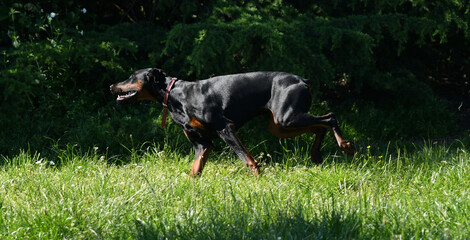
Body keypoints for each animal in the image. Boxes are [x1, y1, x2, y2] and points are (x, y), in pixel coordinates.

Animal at [110, 67, 352, 176]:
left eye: (132, 76)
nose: (111, 86)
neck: (177, 95)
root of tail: (302, 80)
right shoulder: (203, 144)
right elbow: (195, 170)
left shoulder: (225, 128)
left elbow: (248, 160)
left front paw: (259, 178)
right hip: (280, 125)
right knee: (319, 127)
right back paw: (316, 154)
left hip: (287, 117)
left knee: (330, 117)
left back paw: (345, 145)